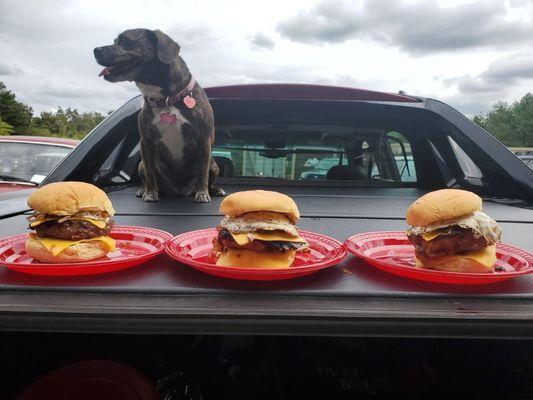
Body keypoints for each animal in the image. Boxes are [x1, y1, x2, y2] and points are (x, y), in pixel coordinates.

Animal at [93, 28, 222, 202]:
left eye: (124, 41)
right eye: (115, 41)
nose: (95, 50)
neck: (167, 100)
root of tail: (179, 192)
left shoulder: (204, 141)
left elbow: (203, 173)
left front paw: (202, 193)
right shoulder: (146, 142)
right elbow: (150, 173)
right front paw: (150, 192)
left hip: (214, 165)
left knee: (209, 175)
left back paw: (214, 190)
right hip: (141, 164)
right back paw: (143, 189)